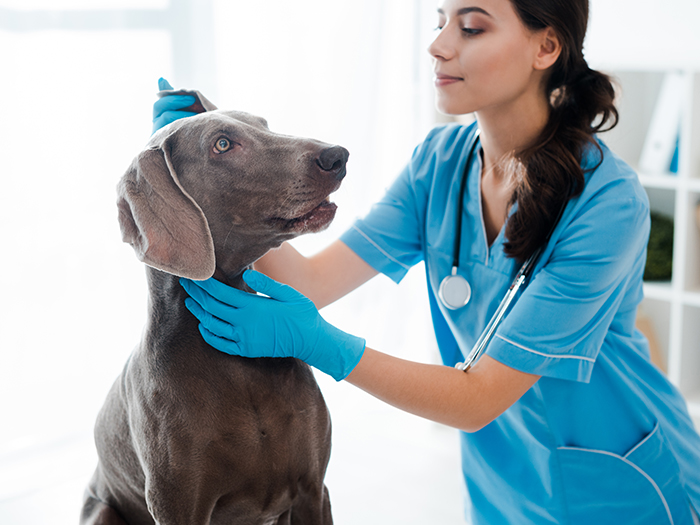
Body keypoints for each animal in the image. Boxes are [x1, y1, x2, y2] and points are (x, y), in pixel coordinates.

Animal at [80, 91, 346, 524]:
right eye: (222, 144)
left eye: (265, 124)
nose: (337, 155)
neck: (238, 366)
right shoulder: (178, 505)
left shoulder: (312, 490)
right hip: (100, 509)